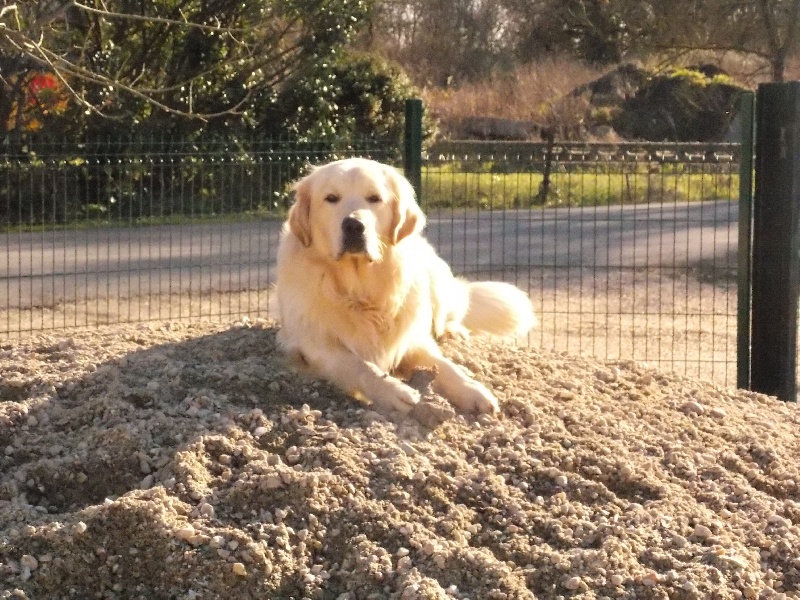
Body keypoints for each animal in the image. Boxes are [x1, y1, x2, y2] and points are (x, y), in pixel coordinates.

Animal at [276, 157, 536, 414]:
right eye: (331, 198)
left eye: (374, 198)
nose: (353, 225)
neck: (360, 290)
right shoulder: (314, 345)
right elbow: (359, 365)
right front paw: (394, 392)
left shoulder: (411, 337)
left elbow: (443, 364)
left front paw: (472, 390)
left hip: (436, 281)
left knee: (449, 315)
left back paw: (453, 331)